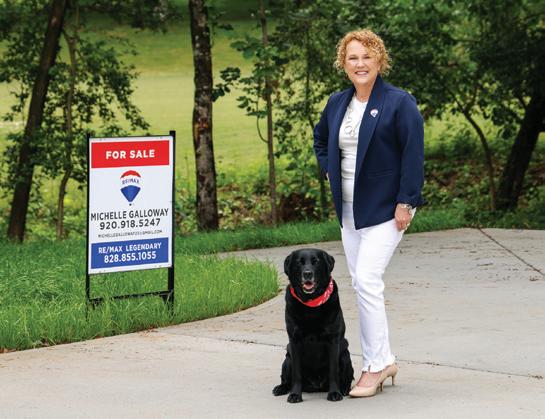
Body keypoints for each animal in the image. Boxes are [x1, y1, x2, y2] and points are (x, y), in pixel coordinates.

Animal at [272, 248, 354, 403]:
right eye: (299, 262)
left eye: (316, 261)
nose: (307, 273)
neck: (311, 303)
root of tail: (316, 386)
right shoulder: (294, 341)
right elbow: (297, 375)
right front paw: (295, 394)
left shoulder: (333, 340)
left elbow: (333, 371)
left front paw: (334, 393)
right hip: (287, 359)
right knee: (286, 379)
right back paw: (281, 388)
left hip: (345, 356)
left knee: (347, 378)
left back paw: (344, 390)